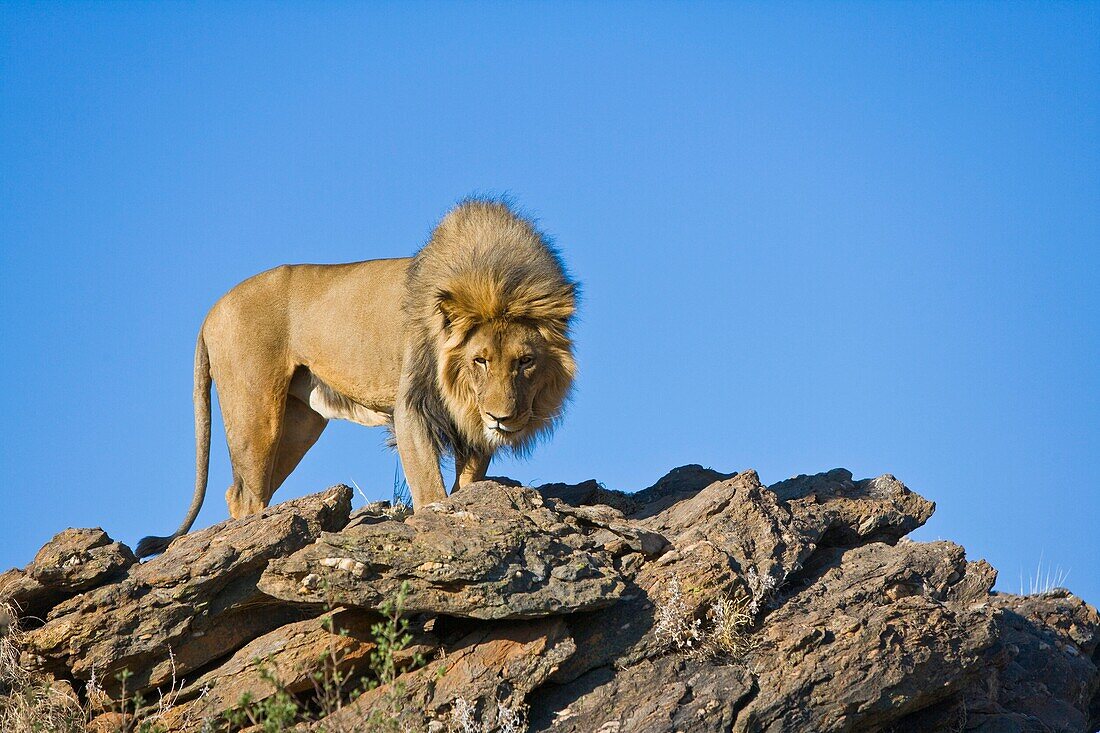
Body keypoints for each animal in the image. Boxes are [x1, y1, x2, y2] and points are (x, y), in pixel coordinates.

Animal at [135, 198, 576, 554]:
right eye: (480, 361)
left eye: (525, 361)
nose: (501, 417)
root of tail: (212, 310)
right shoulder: (412, 406)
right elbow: (429, 486)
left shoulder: (470, 424)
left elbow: (467, 478)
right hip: (255, 411)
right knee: (244, 492)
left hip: (299, 422)